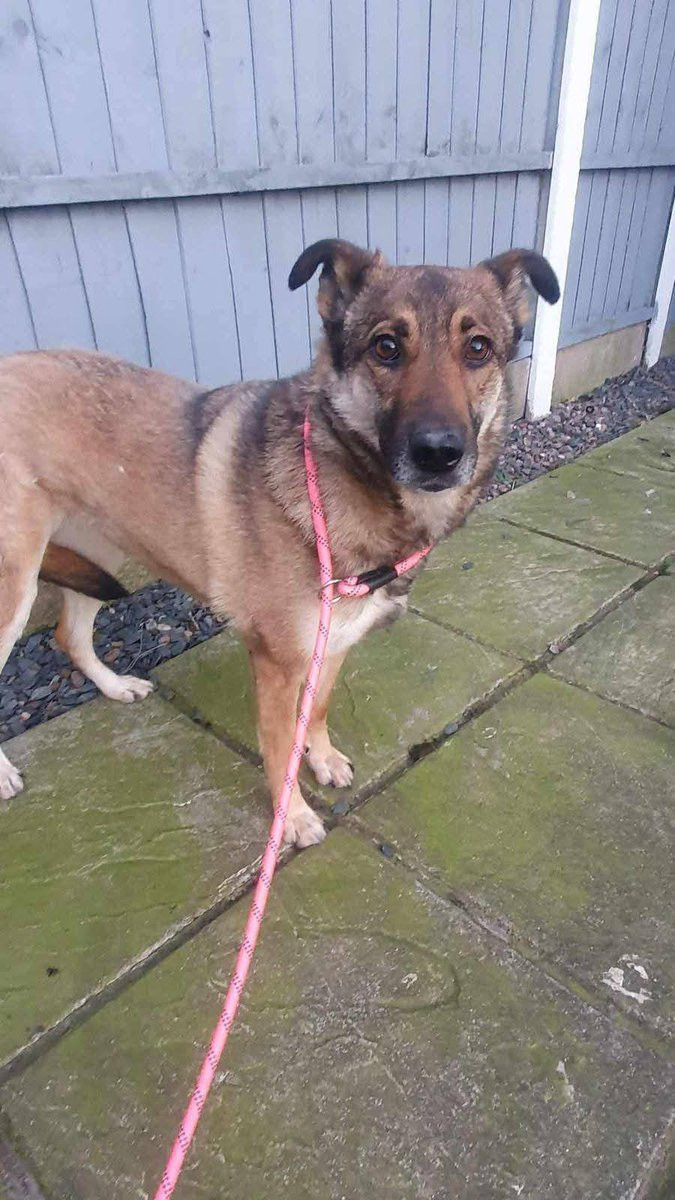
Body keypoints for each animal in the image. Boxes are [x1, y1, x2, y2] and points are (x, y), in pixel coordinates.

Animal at [0, 239, 559, 844]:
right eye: (386, 346)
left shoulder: (331, 646)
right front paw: (291, 817)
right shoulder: (277, 662)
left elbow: (315, 712)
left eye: (478, 348)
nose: (439, 453)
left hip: (98, 546)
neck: (347, 487)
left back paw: (114, 686)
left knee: (70, 634)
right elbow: (276, 743)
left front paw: (321, 757)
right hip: (14, 585)